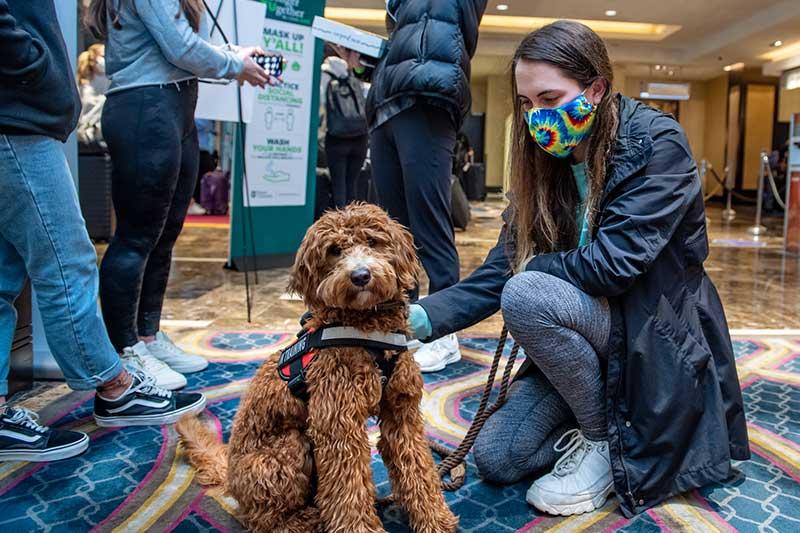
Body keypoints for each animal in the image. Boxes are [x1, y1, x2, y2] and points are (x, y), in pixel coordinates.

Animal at [178, 204, 460, 532]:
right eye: (334, 250)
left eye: (373, 241)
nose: (360, 275)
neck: (366, 328)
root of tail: (231, 479)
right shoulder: (337, 422)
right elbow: (348, 485)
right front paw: (360, 528)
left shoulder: (401, 412)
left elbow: (418, 467)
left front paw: (433, 517)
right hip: (285, 450)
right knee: (263, 520)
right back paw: (304, 519)